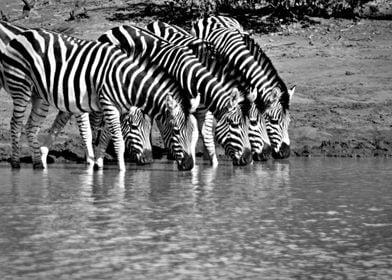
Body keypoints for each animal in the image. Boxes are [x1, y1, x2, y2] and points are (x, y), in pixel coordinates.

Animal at [0, 29, 199, 172]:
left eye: (192, 131)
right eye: (176, 131)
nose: (190, 166)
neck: (126, 81)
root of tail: (22, 34)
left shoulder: (117, 108)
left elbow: (105, 137)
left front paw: (98, 164)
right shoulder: (109, 104)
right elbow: (117, 141)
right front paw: (121, 173)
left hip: (40, 96)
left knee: (31, 127)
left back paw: (37, 164)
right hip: (21, 86)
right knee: (16, 124)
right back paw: (16, 163)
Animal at [96, 24, 253, 166]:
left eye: (248, 124)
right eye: (235, 124)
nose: (249, 159)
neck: (193, 78)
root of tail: (117, 27)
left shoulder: (201, 109)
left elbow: (205, 135)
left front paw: (212, 166)